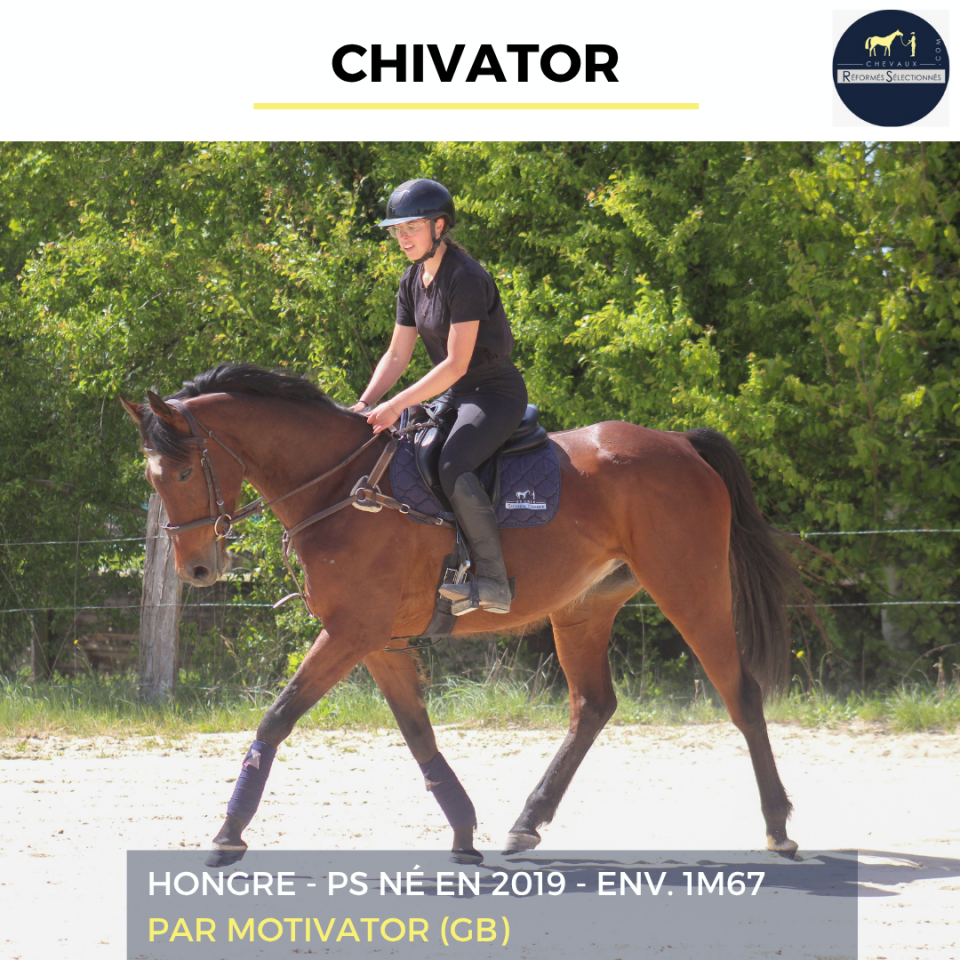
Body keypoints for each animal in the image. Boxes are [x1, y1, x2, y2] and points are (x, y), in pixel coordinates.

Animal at [121, 363, 801, 866]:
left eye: (183, 470)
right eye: (153, 479)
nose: (197, 569)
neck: (338, 487)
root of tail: (681, 444)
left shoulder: (350, 633)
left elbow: (277, 717)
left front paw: (228, 833)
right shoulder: (377, 640)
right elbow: (417, 731)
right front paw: (464, 830)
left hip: (690, 589)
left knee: (741, 693)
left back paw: (777, 826)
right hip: (584, 607)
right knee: (592, 707)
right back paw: (526, 822)